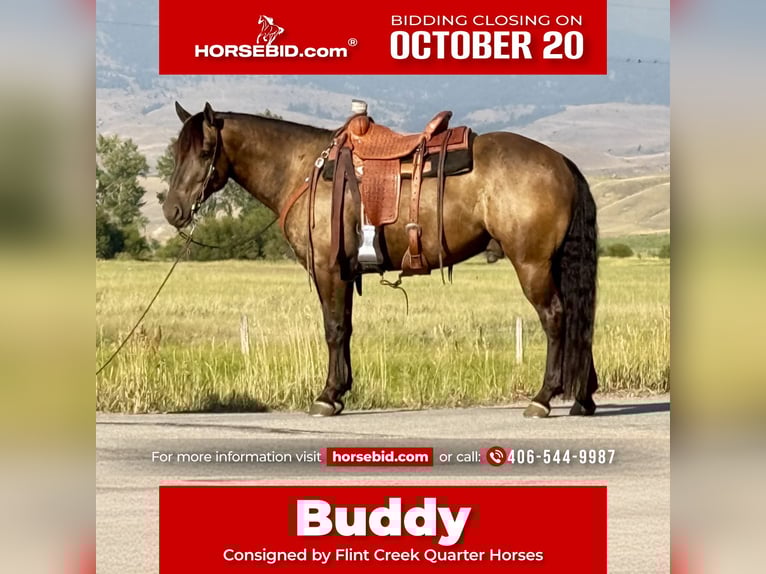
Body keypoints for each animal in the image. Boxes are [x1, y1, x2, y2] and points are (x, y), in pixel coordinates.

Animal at [163, 102, 599, 418]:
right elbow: (346, 329)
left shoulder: (328, 270)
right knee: (579, 319)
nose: (173, 210)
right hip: (553, 263)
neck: (302, 168)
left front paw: (327, 396)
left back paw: (543, 397)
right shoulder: (344, 270)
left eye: (205, 151)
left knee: (556, 318)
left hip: (532, 265)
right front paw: (340, 391)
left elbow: (334, 329)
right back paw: (584, 397)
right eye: (176, 153)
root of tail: (562, 162)